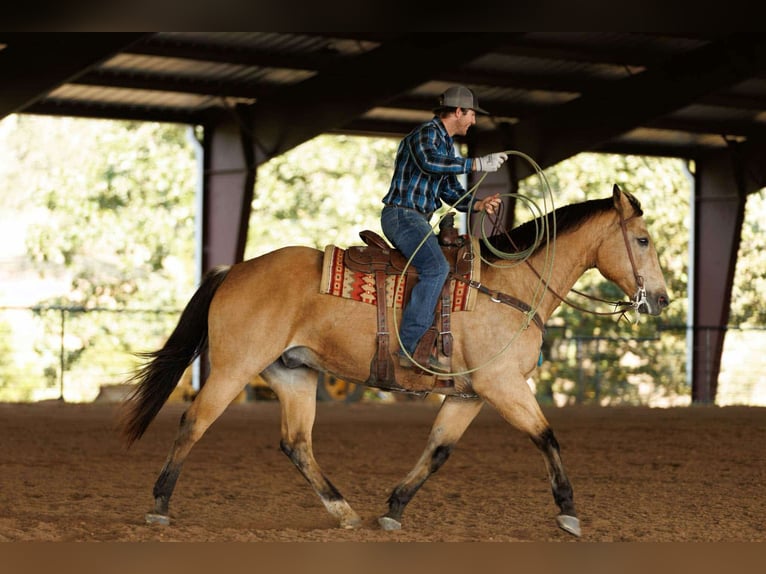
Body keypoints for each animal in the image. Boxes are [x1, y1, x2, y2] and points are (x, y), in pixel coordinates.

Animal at [120, 184, 670, 538]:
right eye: (642, 240)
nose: (661, 300)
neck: (508, 287)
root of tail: (234, 270)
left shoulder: (470, 395)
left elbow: (438, 450)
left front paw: (394, 509)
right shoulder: (503, 386)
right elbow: (546, 437)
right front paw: (569, 512)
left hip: (294, 373)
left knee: (296, 443)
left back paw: (344, 512)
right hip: (235, 369)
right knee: (194, 421)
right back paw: (160, 505)